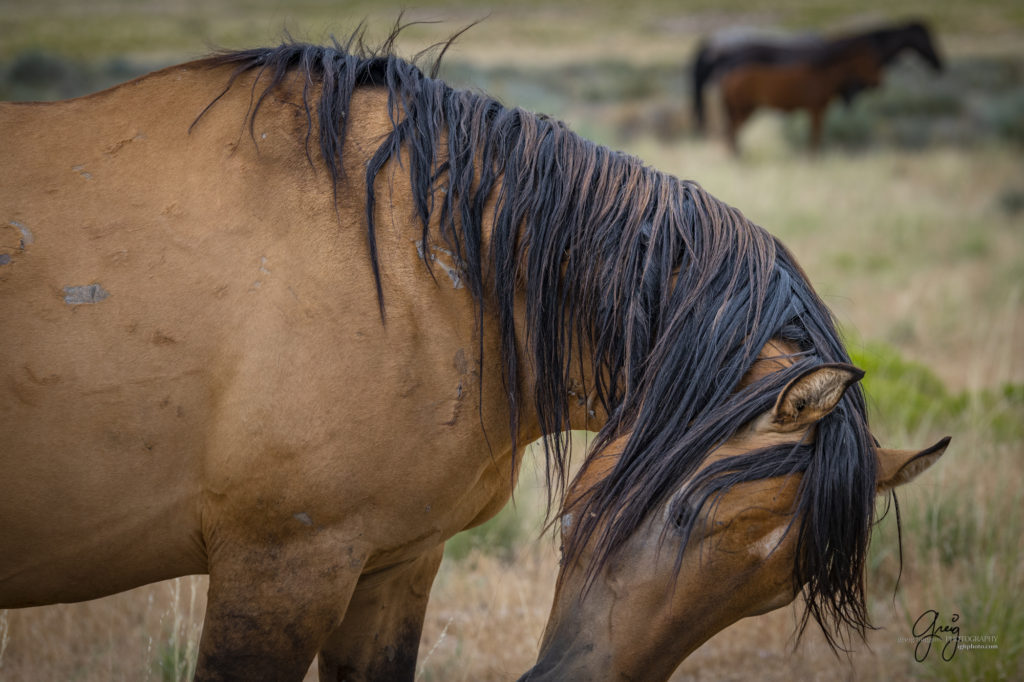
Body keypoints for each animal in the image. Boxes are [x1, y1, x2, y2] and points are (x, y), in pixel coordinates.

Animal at [692, 20, 946, 151]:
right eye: (926, 39)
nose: (939, 64)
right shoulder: (820, 108)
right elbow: (816, 138)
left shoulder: (823, 107)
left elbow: (817, 137)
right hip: (744, 109)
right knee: (731, 132)